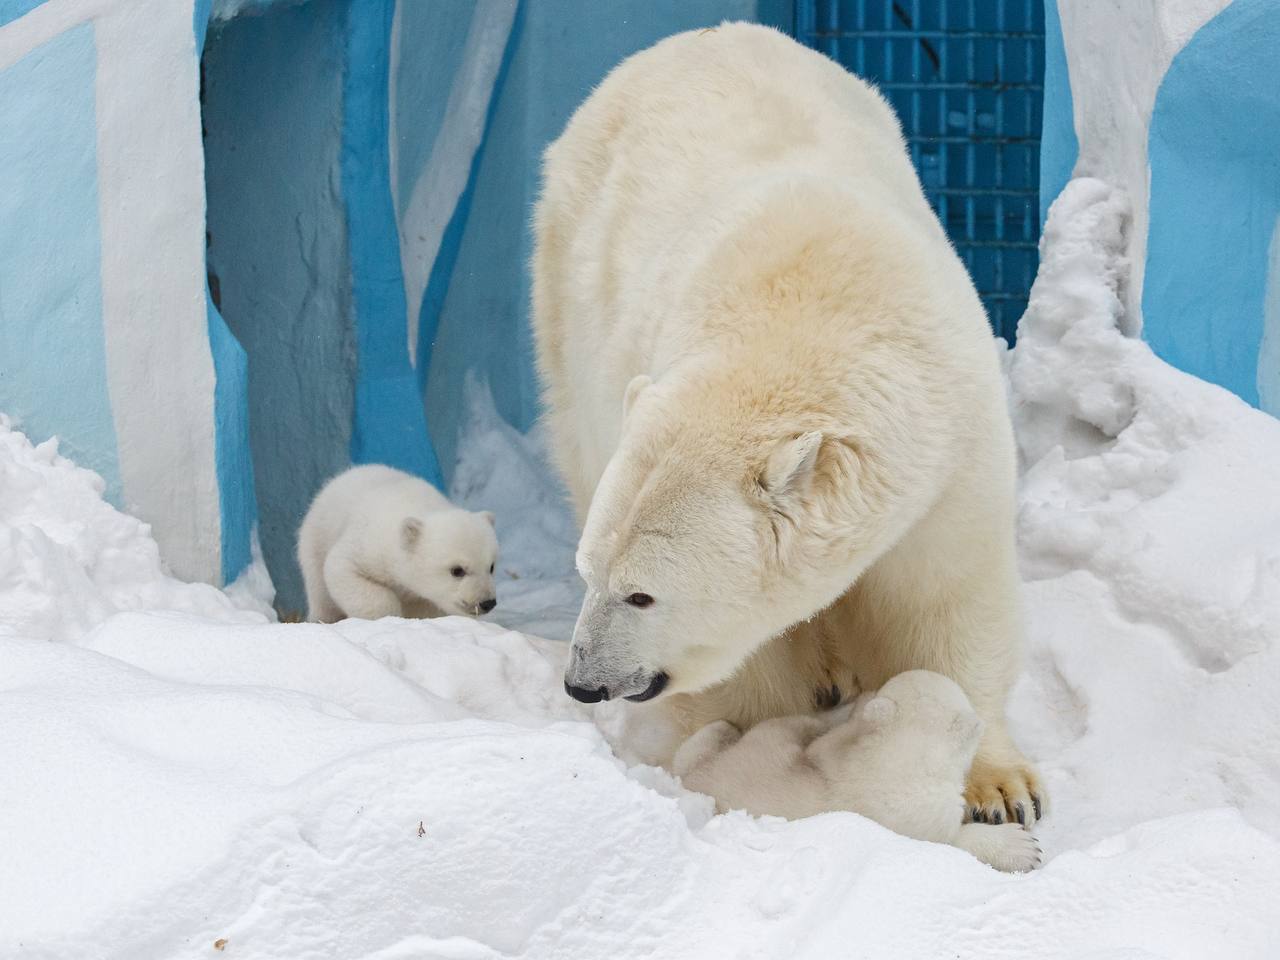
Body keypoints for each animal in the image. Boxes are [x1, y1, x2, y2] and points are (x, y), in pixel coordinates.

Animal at [295, 465, 499, 624]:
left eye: (491, 567)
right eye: (457, 570)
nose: (487, 602)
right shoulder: (370, 544)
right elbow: (340, 567)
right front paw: (388, 616)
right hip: (315, 543)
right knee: (322, 596)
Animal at [529, 18, 1039, 824]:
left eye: (641, 592)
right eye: (588, 574)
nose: (585, 681)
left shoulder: (953, 452)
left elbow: (948, 597)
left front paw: (999, 791)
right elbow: (746, 662)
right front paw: (758, 752)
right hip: (568, 303)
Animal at [670, 670, 1039, 875]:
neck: (890, 760)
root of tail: (694, 786)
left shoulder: (837, 752)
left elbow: (830, 743)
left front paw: (858, 704)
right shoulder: (914, 811)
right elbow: (947, 840)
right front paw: (1021, 847)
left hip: (756, 748)